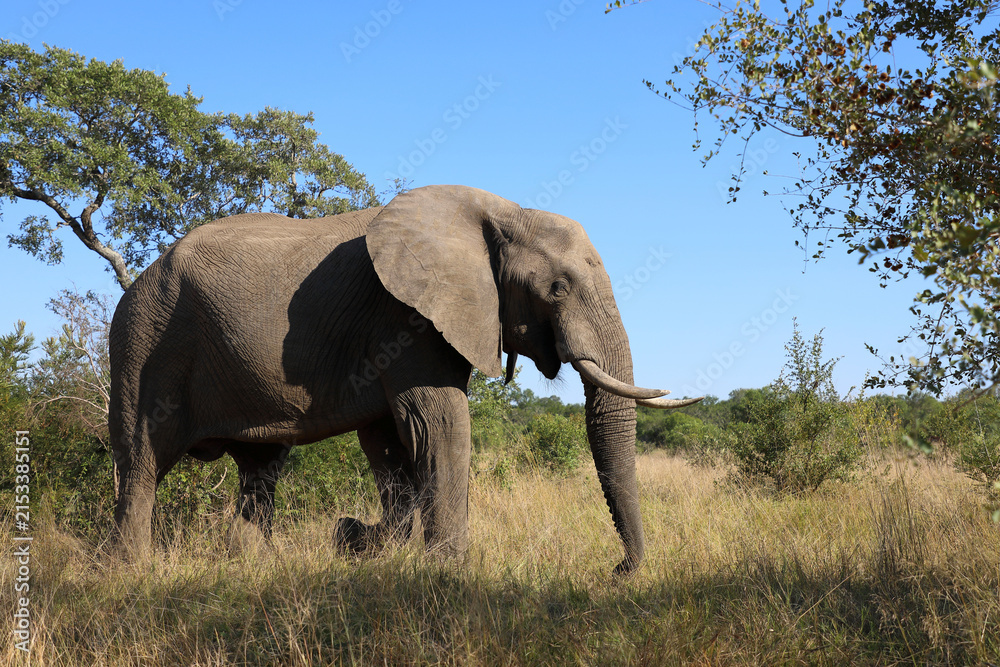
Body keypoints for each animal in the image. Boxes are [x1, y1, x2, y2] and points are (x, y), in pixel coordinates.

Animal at [108, 184, 700, 574]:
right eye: (557, 288)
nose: (618, 570)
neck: (502, 210)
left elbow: (390, 444)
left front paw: (370, 548)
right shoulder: (405, 318)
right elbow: (439, 424)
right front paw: (449, 573)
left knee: (261, 467)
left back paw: (250, 566)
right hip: (143, 339)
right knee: (141, 461)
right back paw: (131, 573)